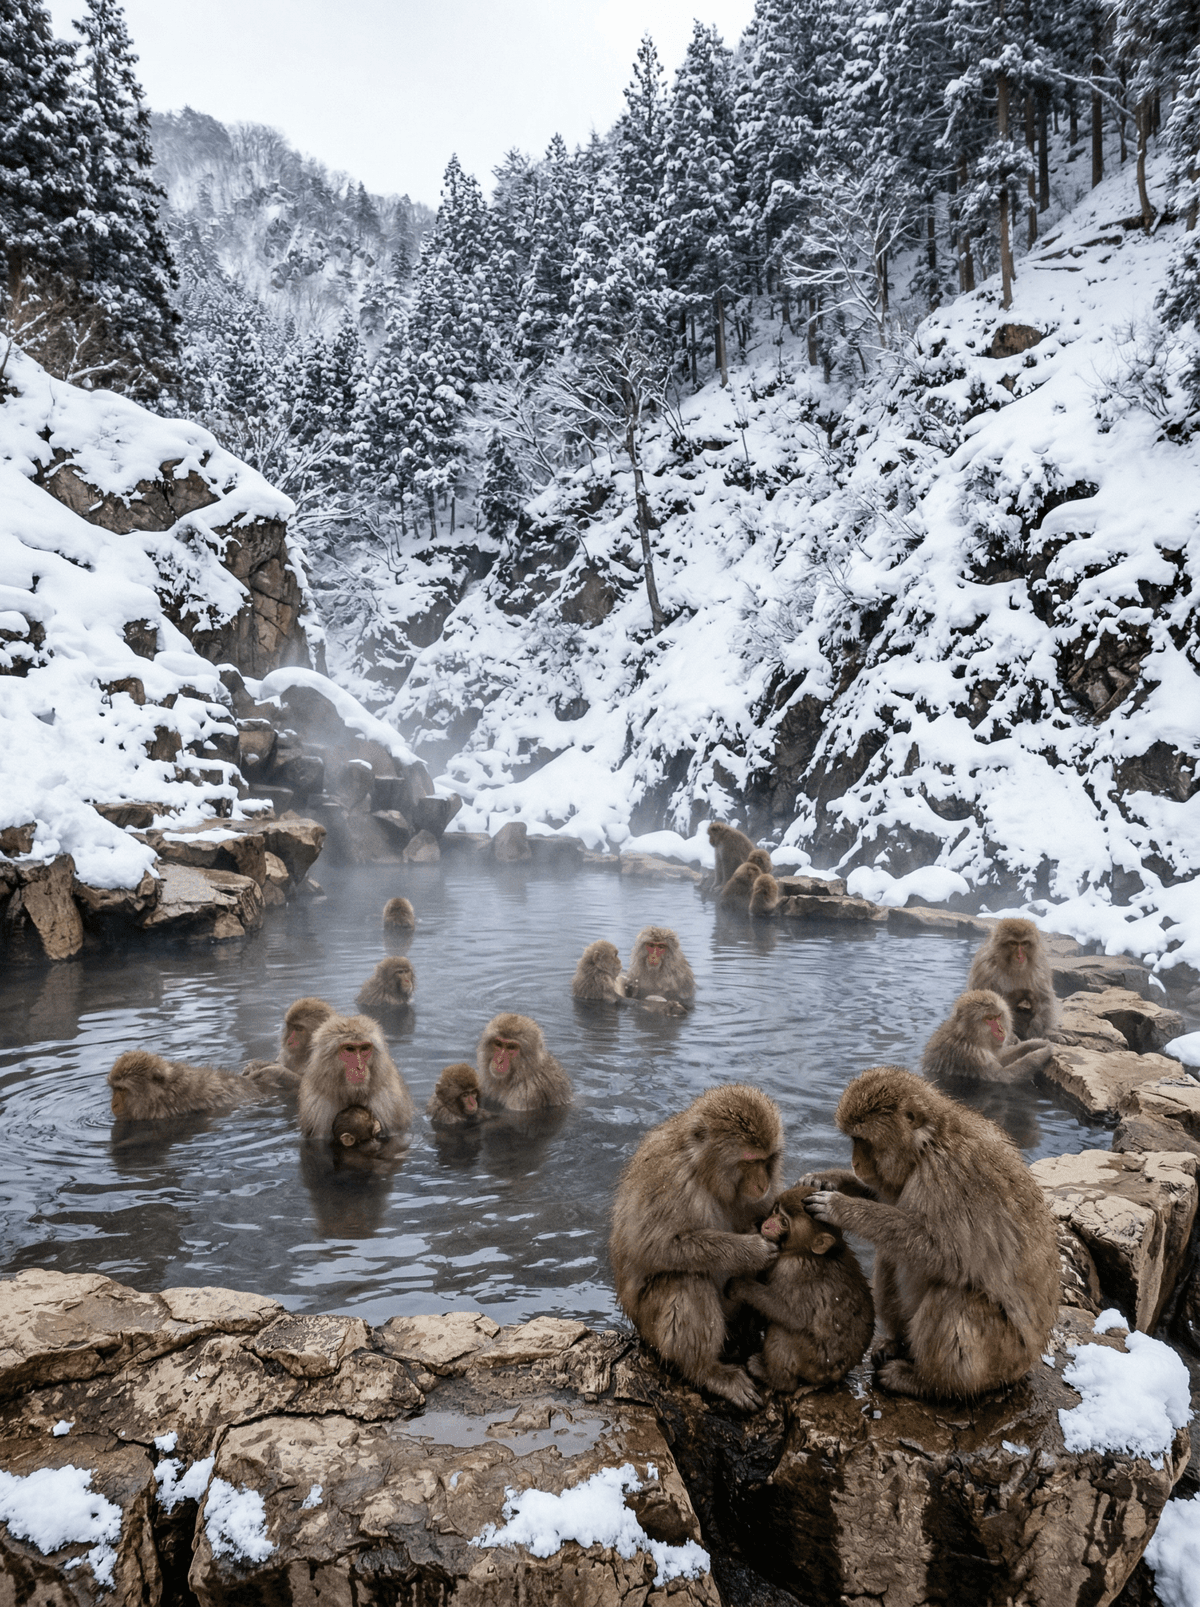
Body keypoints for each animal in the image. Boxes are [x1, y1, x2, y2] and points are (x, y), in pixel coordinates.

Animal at [610, 1083, 784, 1410]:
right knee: (687, 1280)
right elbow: (657, 1247)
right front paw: (751, 1251)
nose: (762, 1183)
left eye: (767, 1160)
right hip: (651, 1330)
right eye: (749, 1161)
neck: (705, 1172)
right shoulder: (671, 1179)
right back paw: (707, 1371)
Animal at [727, 1185, 874, 1393]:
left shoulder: (792, 1269)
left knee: (783, 1332)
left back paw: (775, 1379)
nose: (768, 1224)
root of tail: (835, 1376)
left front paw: (740, 1286)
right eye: (775, 1210)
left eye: (783, 1222)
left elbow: (792, 1315)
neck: (805, 1252)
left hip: (815, 1363)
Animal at [803, 1066, 1059, 1402]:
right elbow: (889, 1198)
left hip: (1002, 1360)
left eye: (862, 1140)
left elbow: (945, 1254)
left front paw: (841, 1207)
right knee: (890, 1256)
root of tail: (1029, 1360)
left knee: (954, 1295)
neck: (927, 1146)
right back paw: (897, 1344)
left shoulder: (948, 1177)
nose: (855, 1164)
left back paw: (928, 1382)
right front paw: (829, 1179)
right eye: (853, 1140)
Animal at [922, 989, 1054, 1083]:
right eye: (990, 1018)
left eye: (998, 1016)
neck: (966, 1036)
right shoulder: (972, 1055)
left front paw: (1035, 1043)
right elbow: (1003, 1077)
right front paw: (1041, 1054)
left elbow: (1000, 1057)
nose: (1001, 1030)